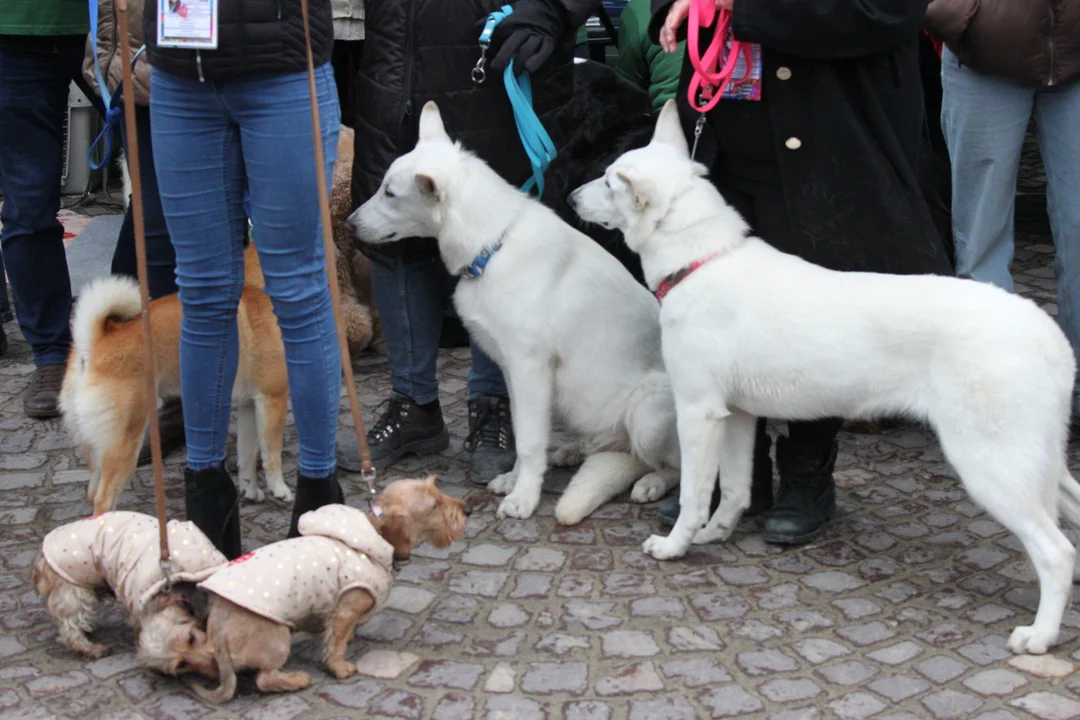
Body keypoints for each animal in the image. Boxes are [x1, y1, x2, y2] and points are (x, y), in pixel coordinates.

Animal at [138, 474, 468, 699]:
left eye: (438, 490)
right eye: (434, 505)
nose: (468, 510)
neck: (373, 534)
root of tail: (217, 641)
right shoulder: (346, 608)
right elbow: (336, 642)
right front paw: (340, 667)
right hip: (278, 637)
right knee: (264, 679)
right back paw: (297, 679)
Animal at [347, 102, 682, 524]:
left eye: (390, 193)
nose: (348, 224)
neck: (493, 246)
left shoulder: (529, 369)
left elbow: (529, 443)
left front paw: (524, 497)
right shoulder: (511, 371)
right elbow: (523, 433)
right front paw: (514, 480)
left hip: (648, 409)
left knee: (675, 465)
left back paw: (652, 483)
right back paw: (574, 451)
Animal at [578, 101, 1080, 660]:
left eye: (607, 181)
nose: (571, 196)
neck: (701, 262)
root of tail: (1047, 332)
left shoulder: (698, 412)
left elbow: (693, 492)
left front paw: (676, 546)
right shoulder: (737, 416)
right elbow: (735, 488)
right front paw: (716, 534)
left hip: (991, 464)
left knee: (1057, 553)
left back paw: (1039, 636)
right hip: (1038, 459)